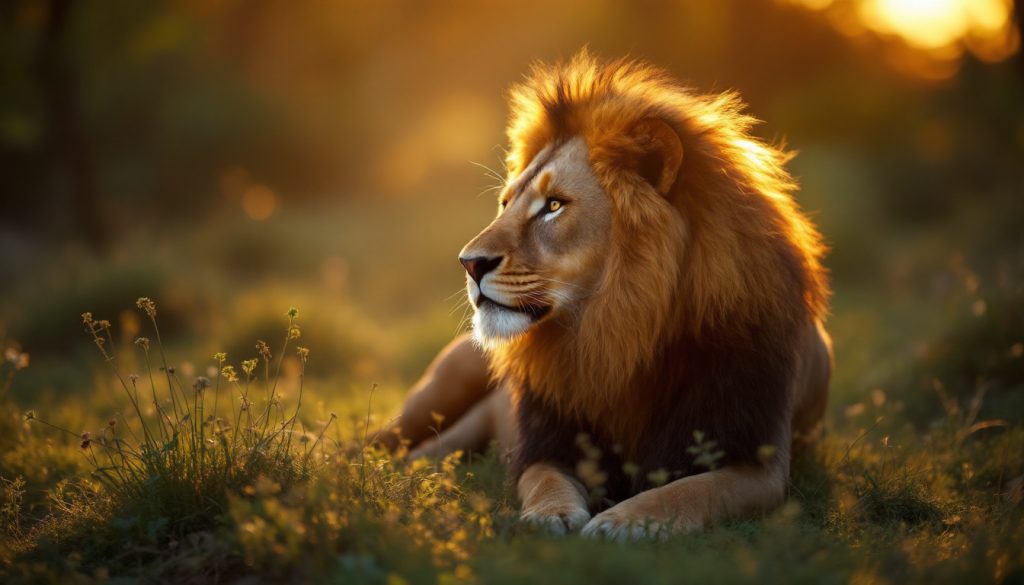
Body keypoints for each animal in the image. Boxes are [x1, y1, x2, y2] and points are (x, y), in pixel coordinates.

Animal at [380, 51, 832, 540]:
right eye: (506, 203)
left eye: (553, 205)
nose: (469, 263)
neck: (618, 331)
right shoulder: (548, 444)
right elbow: (545, 481)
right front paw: (551, 514)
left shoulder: (757, 460)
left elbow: (693, 489)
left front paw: (626, 520)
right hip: (441, 389)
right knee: (407, 447)